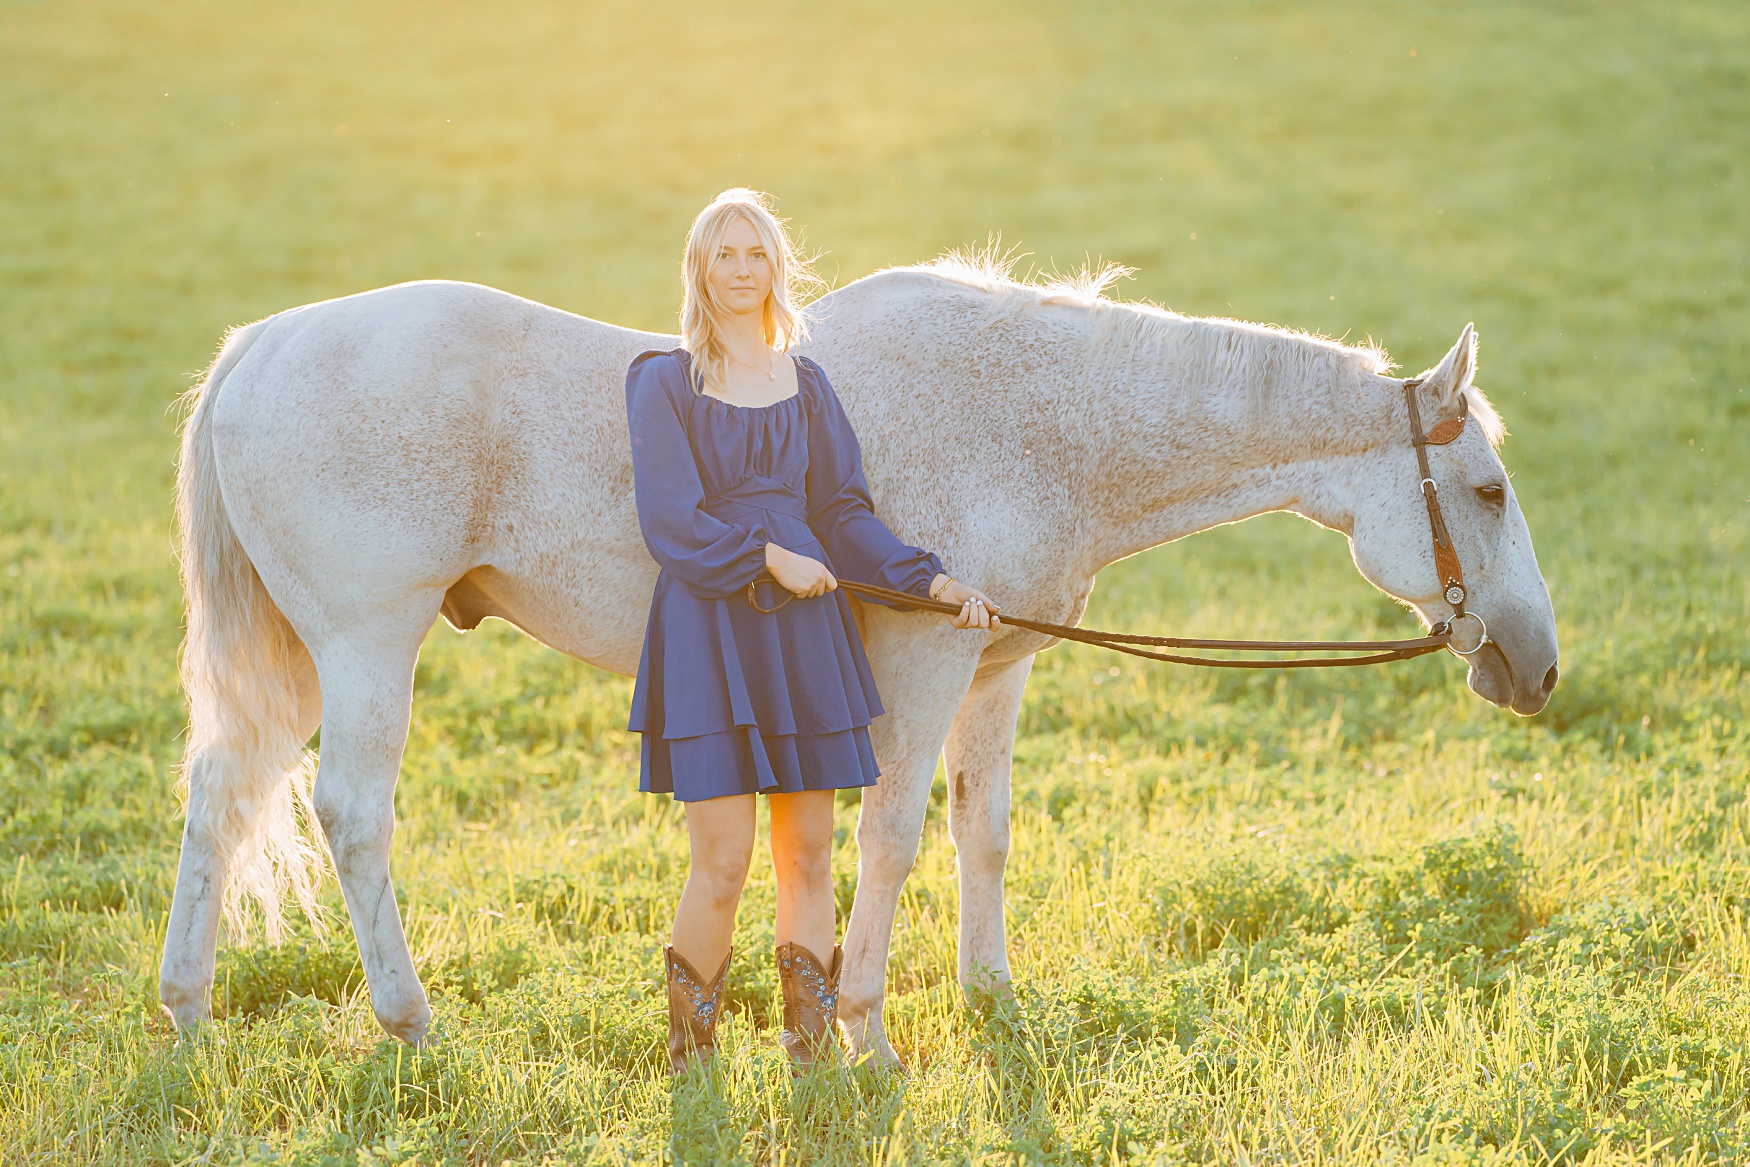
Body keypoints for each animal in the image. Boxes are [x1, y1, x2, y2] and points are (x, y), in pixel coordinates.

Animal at [161, 260, 1561, 1063]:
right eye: (1489, 492)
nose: (1536, 669)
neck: (1038, 419)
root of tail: (256, 347)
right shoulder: (930, 672)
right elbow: (889, 837)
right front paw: (869, 1033)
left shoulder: (998, 669)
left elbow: (982, 831)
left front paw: (992, 1006)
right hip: (366, 645)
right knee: (351, 814)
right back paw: (409, 1024)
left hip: (294, 661)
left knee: (219, 800)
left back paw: (186, 1012)